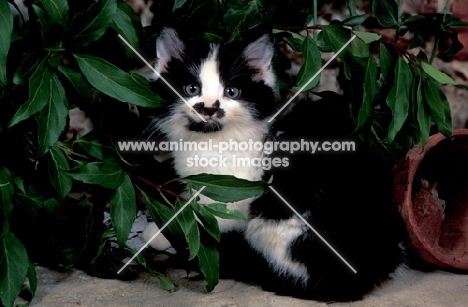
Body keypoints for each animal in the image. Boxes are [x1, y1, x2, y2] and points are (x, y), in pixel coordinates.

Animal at [143, 28, 402, 304]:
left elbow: (210, 217)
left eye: (232, 92)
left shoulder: (236, 192)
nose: (210, 108)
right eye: (191, 88)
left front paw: (159, 232)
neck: (214, 141)